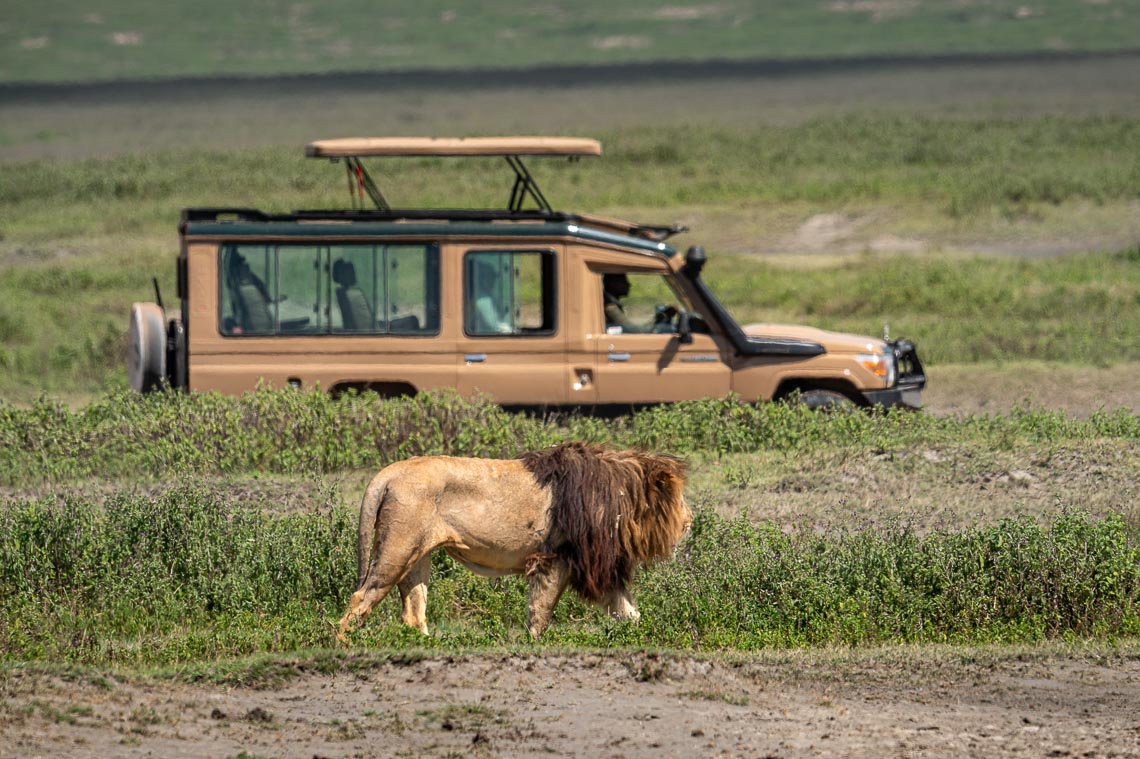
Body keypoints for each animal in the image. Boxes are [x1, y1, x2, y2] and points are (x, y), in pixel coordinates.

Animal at [332, 439, 688, 633]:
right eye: (681, 500)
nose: (690, 521)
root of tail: (387, 473)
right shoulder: (556, 557)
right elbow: (541, 612)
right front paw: (533, 643)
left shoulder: (599, 569)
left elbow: (630, 614)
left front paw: (647, 637)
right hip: (397, 548)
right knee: (359, 600)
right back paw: (344, 646)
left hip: (416, 556)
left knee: (413, 613)